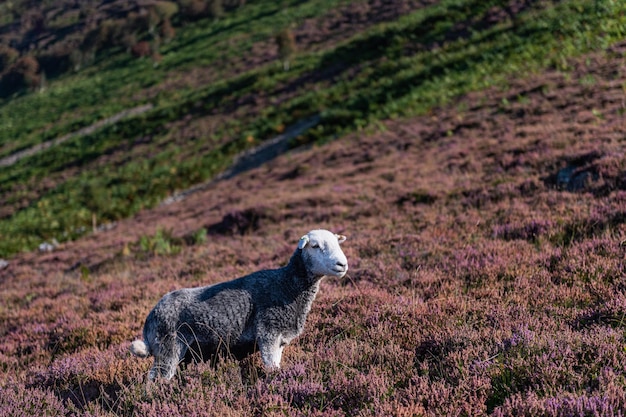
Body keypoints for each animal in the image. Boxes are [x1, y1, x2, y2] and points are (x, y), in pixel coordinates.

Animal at [130, 229, 348, 378]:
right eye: (315, 246)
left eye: (337, 244)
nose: (342, 264)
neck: (286, 285)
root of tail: (150, 318)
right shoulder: (268, 333)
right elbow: (272, 367)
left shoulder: (280, 341)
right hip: (167, 347)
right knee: (154, 380)